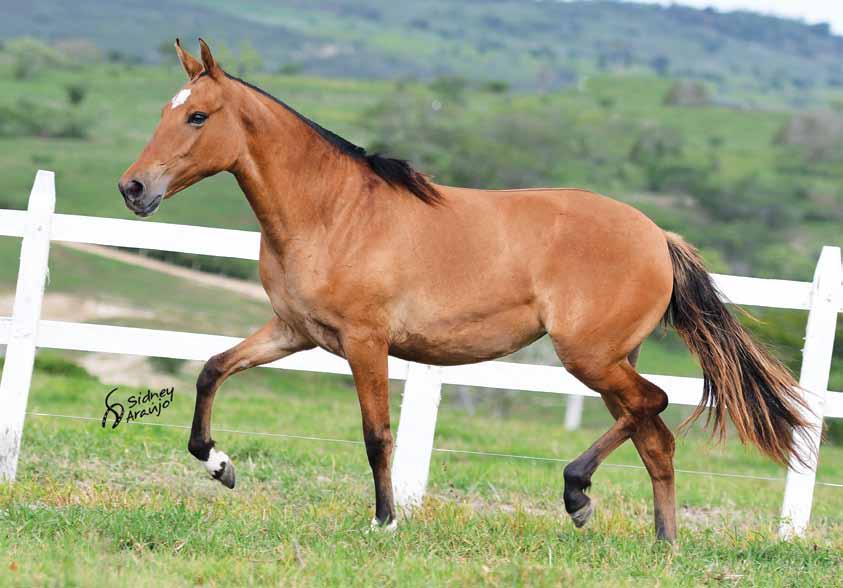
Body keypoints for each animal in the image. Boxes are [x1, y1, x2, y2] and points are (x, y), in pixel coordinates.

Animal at [118, 38, 812, 544]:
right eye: (164, 112)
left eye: (197, 115)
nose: (133, 188)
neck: (331, 212)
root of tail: (658, 237)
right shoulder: (295, 331)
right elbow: (212, 368)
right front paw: (219, 464)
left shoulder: (365, 342)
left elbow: (377, 434)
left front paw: (385, 521)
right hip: (610, 358)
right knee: (654, 434)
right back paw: (653, 538)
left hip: (589, 356)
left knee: (656, 405)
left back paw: (580, 495)